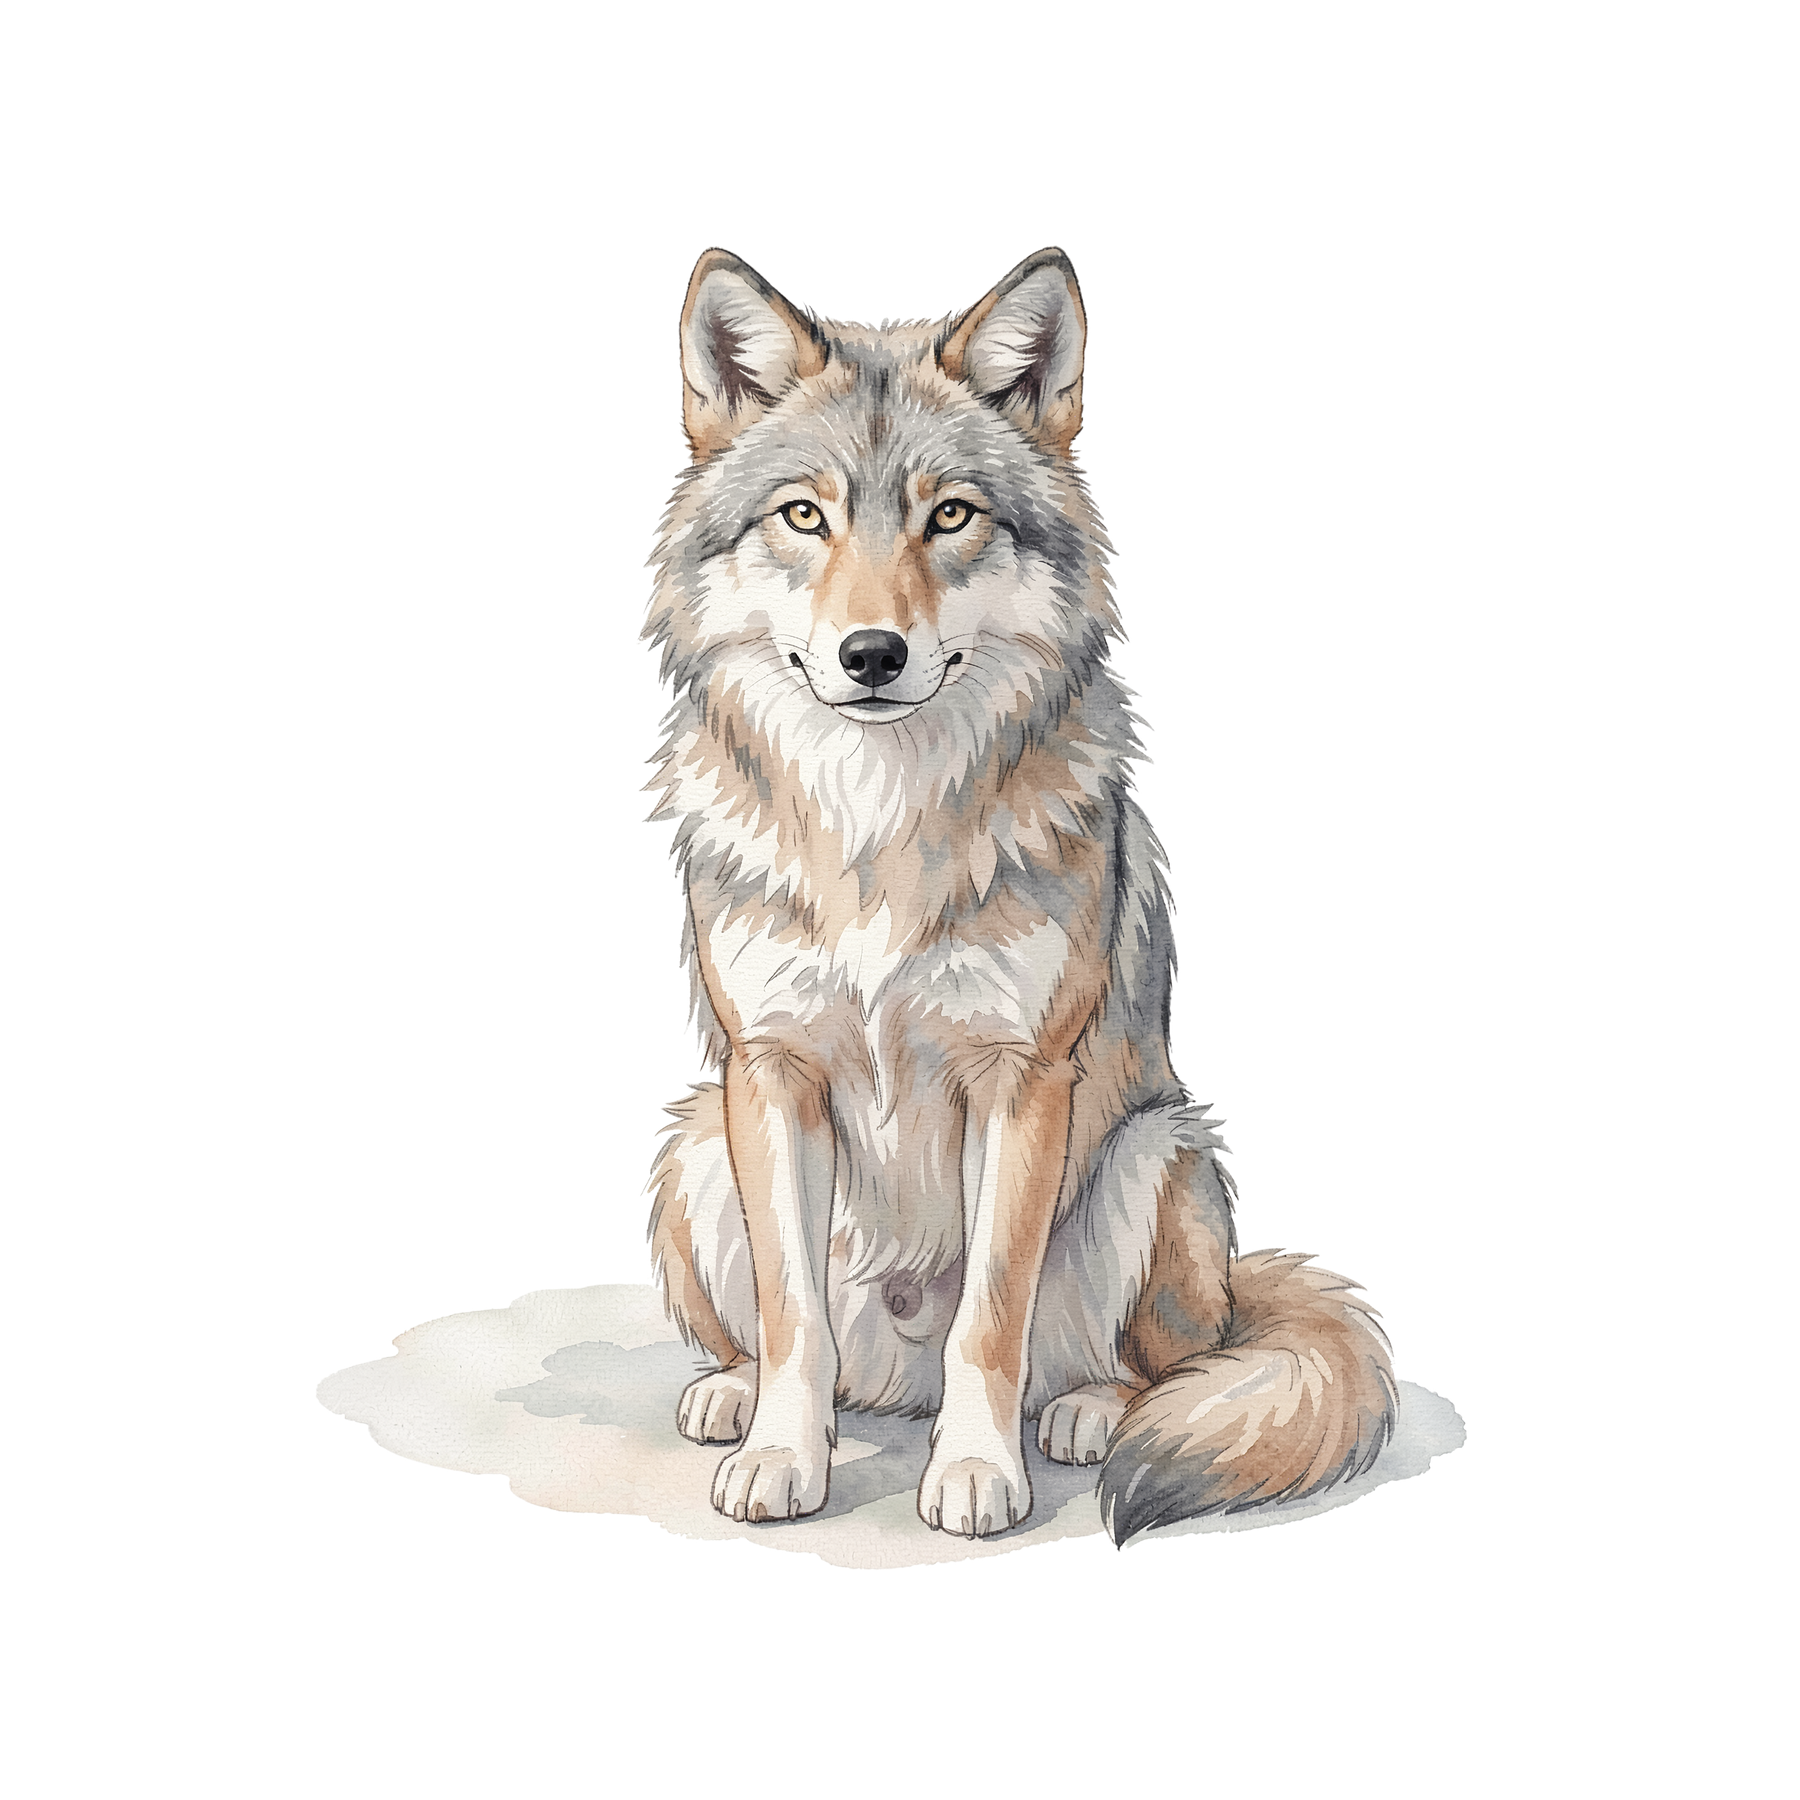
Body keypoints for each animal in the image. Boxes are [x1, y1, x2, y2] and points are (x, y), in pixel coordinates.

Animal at [643, 247, 1397, 1543]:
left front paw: (976, 1475)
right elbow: (792, 1315)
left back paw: (1086, 1412)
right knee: (803, 1345)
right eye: (805, 515)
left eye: (951, 514)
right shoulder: (768, 1069)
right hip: (695, 1142)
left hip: (1159, 1155)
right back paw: (734, 1395)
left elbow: (990, 1318)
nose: (873, 656)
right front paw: (783, 1456)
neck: (879, 823)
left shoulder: (1022, 1079)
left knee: (1149, 1363)